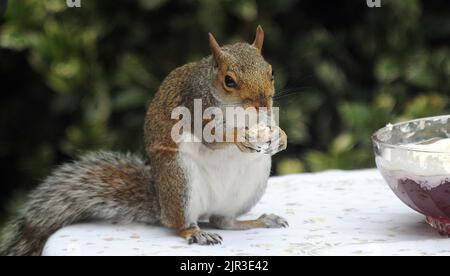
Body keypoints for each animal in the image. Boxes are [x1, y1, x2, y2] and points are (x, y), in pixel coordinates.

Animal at [0, 26, 288, 256]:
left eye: (271, 72)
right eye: (229, 80)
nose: (263, 103)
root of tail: (161, 206)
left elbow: (271, 126)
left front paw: (280, 136)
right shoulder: (194, 106)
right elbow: (213, 138)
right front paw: (240, 136)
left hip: (250, 184)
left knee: (223, 221)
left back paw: (259, 221)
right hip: (178, 178)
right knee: (181, 224)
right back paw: (194, 232)